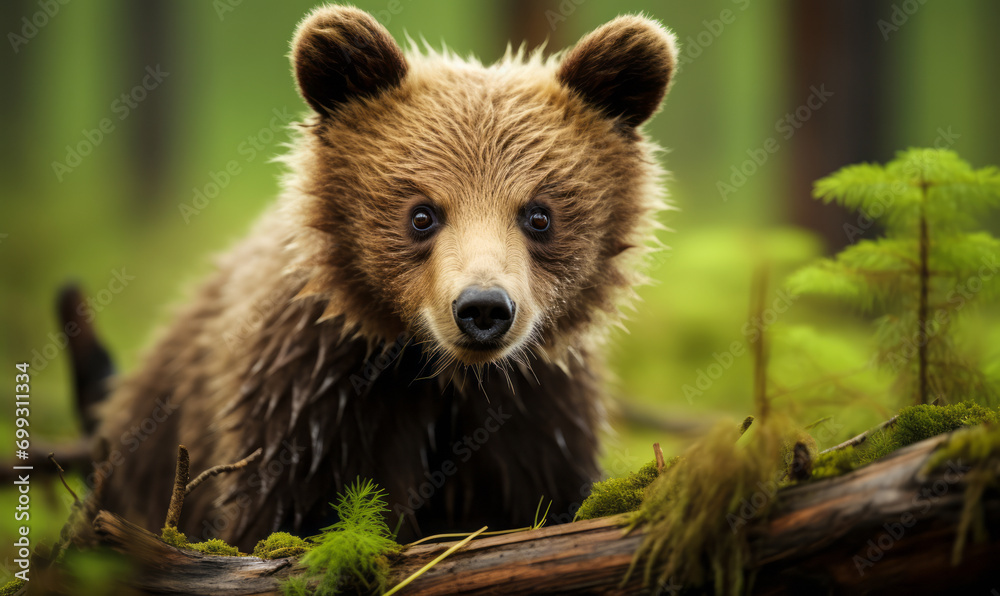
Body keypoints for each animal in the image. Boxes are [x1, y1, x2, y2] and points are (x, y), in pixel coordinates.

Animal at [94, 4, 677, 550]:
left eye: (539, 215)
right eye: (421, 214)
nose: (483, 307)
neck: (441, 378)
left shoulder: (539, 418)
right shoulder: (309, 408)